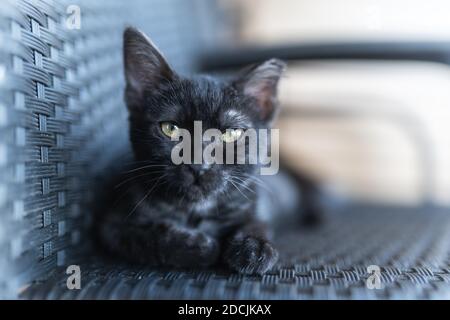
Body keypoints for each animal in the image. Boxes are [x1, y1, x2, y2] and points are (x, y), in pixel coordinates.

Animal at [96, 26, 318, 274]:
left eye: (231, 133)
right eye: (170, 128)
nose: (198, 166)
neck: (196, 210)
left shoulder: (257, 201)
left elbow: (256, 222)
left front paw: (253, 247)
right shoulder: (113, 225)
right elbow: (150, 236)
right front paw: (199, 246)